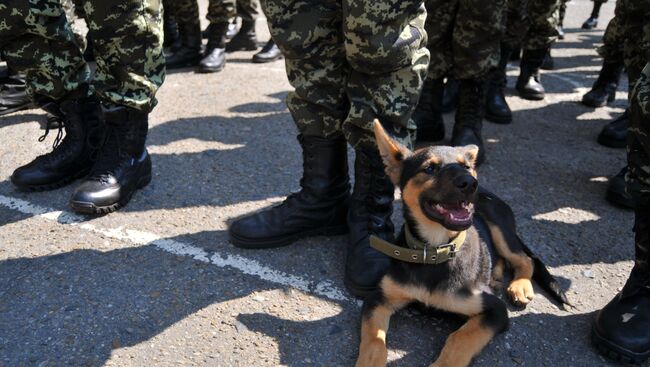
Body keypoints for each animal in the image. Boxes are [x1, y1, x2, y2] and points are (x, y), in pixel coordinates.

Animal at [354, 121, 568, 367]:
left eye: (466, 166)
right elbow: (374, 340)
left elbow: (460, 339)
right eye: (430, 168)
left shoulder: (494, 310)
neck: (434, 251)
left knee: (525, 259)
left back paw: (519, 286)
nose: (470, 183)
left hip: (498, 227)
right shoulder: (379, 298)